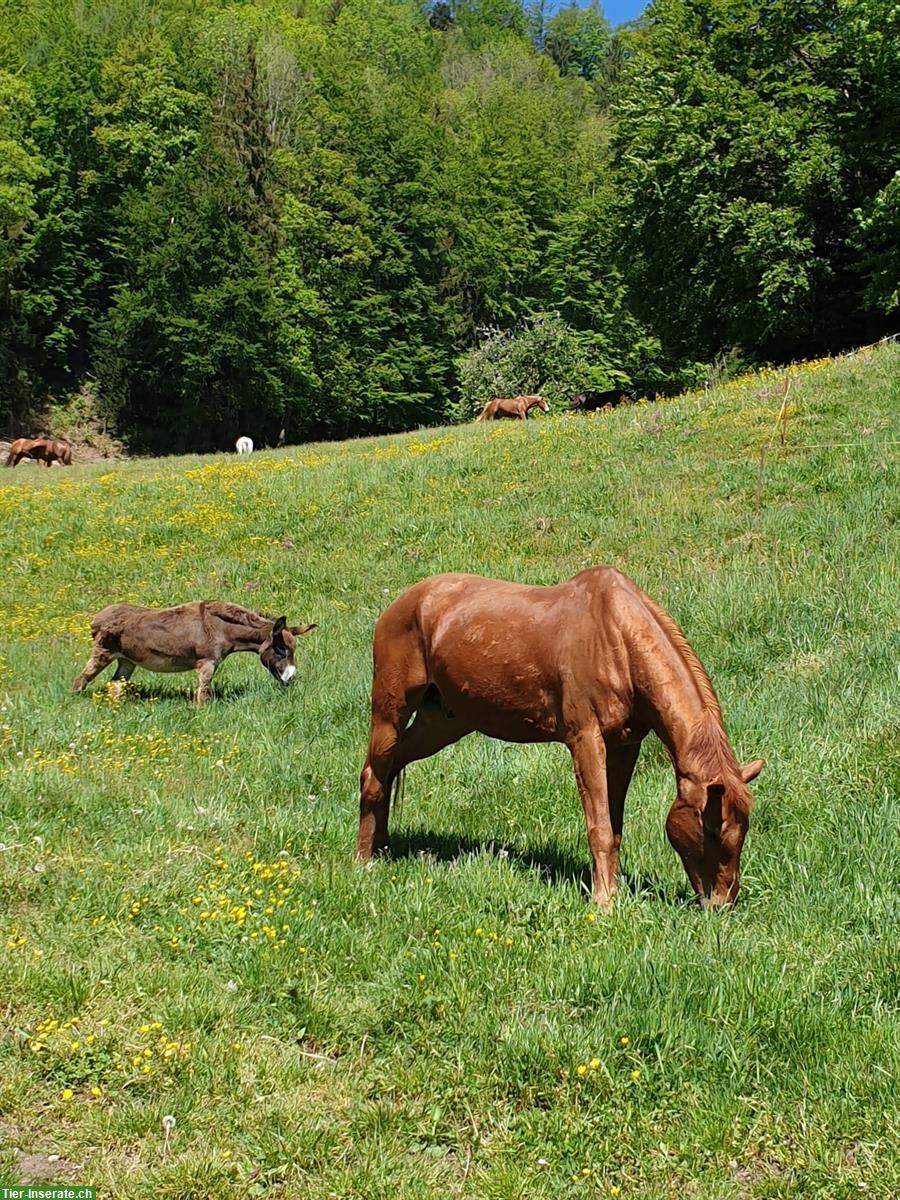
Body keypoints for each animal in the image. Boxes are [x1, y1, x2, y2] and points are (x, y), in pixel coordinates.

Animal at [72, 600, 316, 700]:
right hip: (102, 653)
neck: (221, 628)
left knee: (116, 684)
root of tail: (98, 618)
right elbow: (203, 695)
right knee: (81, 680)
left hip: (127, 660)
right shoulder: (207, 662)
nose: (291, 678)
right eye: (281, 650)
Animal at [355, 571, 763, 907]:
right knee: (373, 776)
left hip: (442, 723)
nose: (721, 904)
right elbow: (599, 826)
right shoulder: (586, 740)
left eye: (742, 829)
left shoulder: (624, 745)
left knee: (392, 768)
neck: (615, 639)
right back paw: (364, 861)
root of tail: (402, 604)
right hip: (390, 712)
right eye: (711, 828)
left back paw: (384, 848)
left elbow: (614, 826)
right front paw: (603, 903)